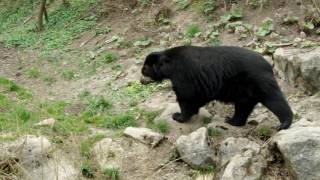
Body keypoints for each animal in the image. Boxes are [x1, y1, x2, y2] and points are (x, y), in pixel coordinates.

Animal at [141, 45, 294, 130]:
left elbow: (186, 96)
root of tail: (268, 65)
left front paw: (178, 116)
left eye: (146, 67)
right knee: (243, 106)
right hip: (244, 89)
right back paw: (232, 121)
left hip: (257, 80)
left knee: (274, 99)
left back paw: (284, 123)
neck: (169, 64)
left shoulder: (183, 74)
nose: (141, 76)